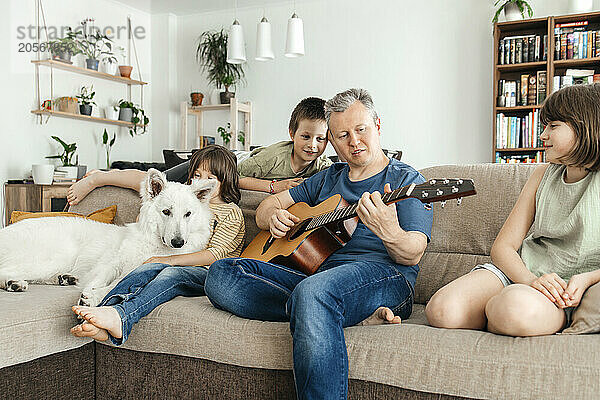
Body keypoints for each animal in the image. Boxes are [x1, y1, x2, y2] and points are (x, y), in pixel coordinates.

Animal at [0, 168, 214, 304]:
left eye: (188, 214)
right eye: (166, 212)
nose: (178, 243)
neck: (154, 246)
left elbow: (116, 284)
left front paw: (92, 296)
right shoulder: (112, 264)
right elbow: (110, 282)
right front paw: (91, 294)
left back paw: (61, 279)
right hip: (53, 257)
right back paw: (15, 283)